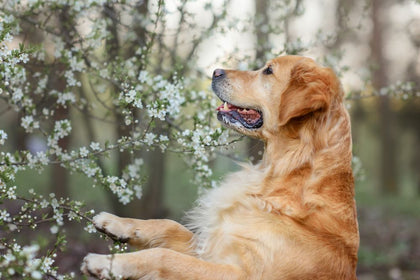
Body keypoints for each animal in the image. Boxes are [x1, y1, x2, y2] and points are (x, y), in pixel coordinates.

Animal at [81, 55, 358, 280]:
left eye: (268, 71)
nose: (215, 71)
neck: (286, 173)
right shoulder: (212, 244)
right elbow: (168, 225)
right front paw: (116, 223)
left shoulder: (239, 272)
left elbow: (163, 256)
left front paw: (106, 263)